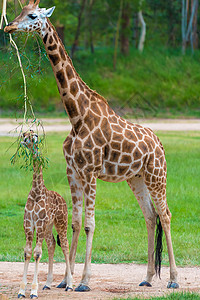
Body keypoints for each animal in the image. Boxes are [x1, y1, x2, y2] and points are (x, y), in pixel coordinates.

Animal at [18, 131, 72, 298]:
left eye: (32, 135)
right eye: (24, 134)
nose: (25, 139)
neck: (37, 191)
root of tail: (63, 199)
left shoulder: (39, 224)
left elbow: (37, 253)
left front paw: (33, 291)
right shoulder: (29, 224)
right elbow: (28, 252)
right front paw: (22, 291)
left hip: (61, 222)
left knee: (65, 245)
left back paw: (70, 284)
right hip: (48, 227)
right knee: (52, 244)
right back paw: (48, 284)